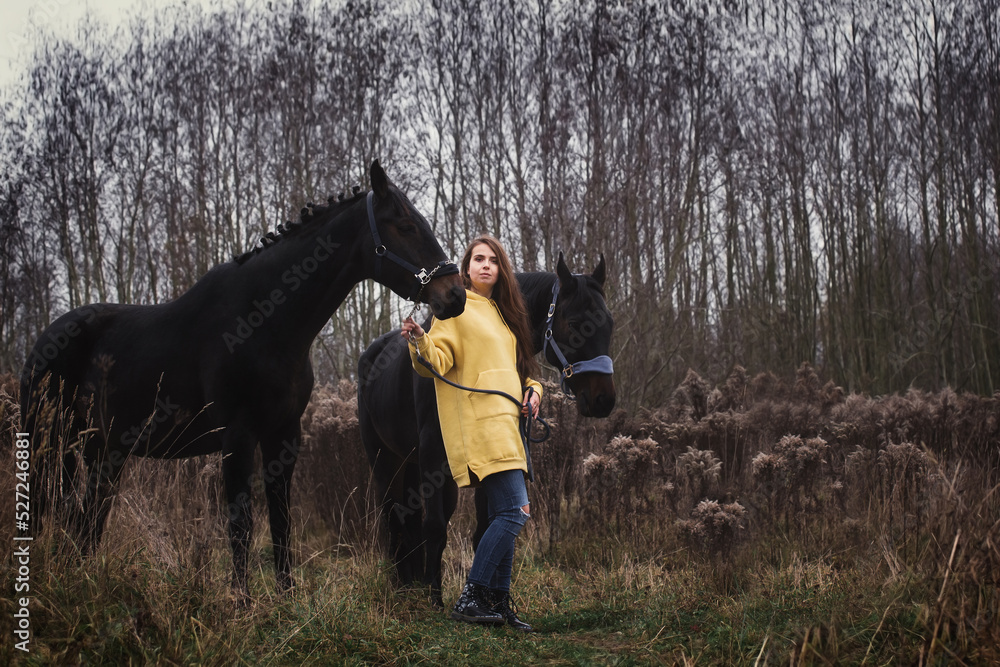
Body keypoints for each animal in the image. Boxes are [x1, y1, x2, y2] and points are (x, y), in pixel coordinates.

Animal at [19, 160, 464, 596]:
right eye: (405, 226)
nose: (454, 295)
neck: (263, 322)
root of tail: (43, 342)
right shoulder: (237, 435)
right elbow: (242, 523)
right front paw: (243, 601)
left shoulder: (284, 435)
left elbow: (281, 521)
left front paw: (286, 598)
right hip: (51, 445)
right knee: (46, 512)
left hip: (100, 450)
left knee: (86, 518)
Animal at [356, 253, 612, 608]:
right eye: (575, 323)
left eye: (609, 323)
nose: (604, 400)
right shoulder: (433, 458)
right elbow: (435, 528)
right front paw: (436, 603)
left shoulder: (490, 466)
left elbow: (484, 533)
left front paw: (483, 601)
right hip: (385, 461)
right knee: (393, 518)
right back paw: (403, 588)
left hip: (417, 466)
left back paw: (412, 584)